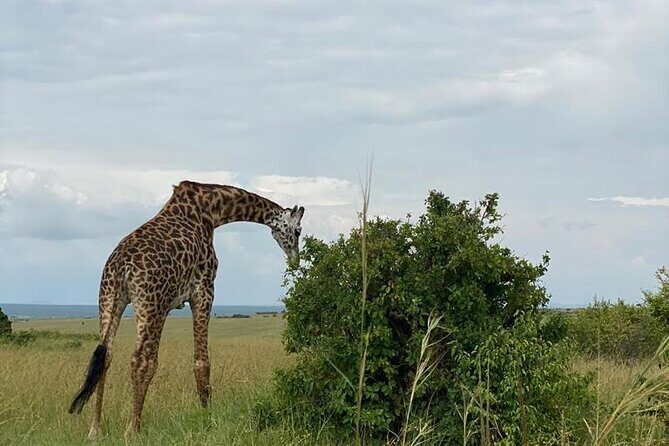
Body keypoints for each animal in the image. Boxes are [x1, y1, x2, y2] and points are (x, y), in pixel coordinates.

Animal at [68, 181, 304, 438]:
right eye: (298, 231)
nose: (295, 260)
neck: (214, 210)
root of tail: (122, 267)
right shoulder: (204, 289)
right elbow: (202, 362)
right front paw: (208, 419)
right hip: (152, 305)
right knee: (143, 360)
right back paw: (132, 429)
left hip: (109, 299)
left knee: (106, 355)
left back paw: (95, 430)